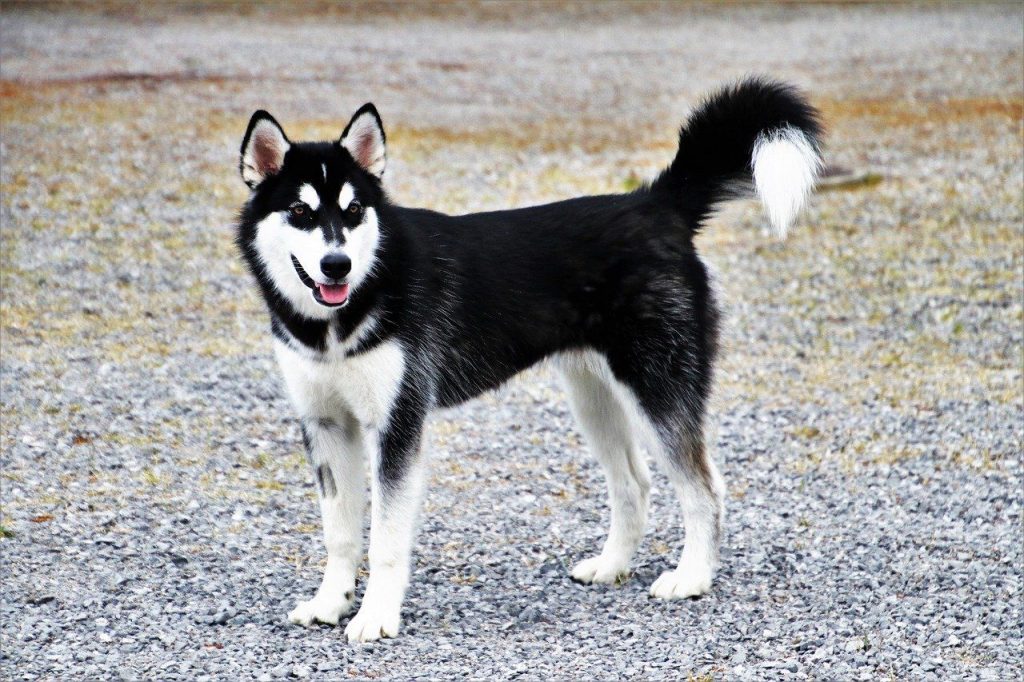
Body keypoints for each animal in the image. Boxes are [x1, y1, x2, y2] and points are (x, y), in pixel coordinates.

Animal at [234, 76, 823, 638]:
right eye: (300, 211)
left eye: (354, 210)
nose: (337, 265)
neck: (349, 308)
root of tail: (655, 204)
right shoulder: (326, 424)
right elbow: (339, 534)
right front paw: (330, 603)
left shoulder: (397, 427)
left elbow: (384, 540)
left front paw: (375, 616)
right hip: (594, 398)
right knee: (633, 482)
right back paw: (612, 565)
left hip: (658, 391)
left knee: (704, 488)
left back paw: (693, 577)